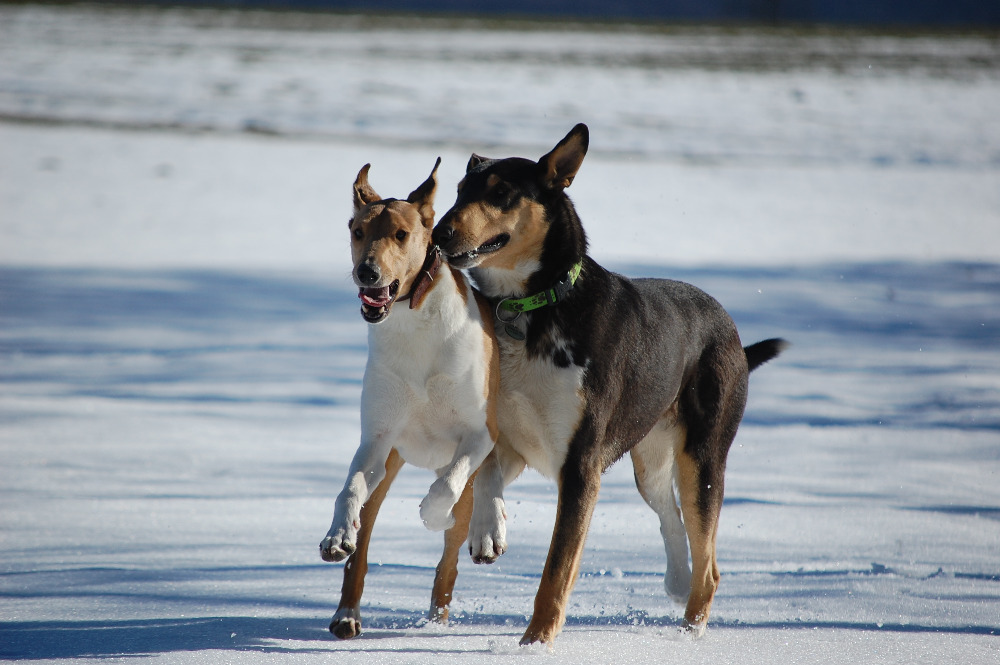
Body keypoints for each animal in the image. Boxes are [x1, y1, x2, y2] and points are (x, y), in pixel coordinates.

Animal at [320, 160, 508, 640]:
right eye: (357, 231)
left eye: (401, 234)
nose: (367, 273)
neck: (414, 322)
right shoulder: (376, 440)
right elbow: (350, 488)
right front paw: (336, 535)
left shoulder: (479, 433)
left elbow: (448, 487)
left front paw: (433, 514)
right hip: (388, 466)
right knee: (363, 543)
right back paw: (346, 612)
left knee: (451, 557)